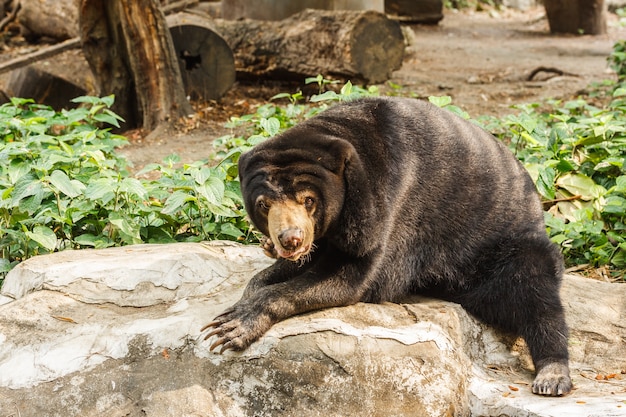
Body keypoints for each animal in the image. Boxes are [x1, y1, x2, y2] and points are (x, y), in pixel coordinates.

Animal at [201, 96, 572, 394]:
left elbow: (355, 276)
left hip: (501, 244)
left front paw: (232, 325)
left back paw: (552, 374)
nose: (290, 239)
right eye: (264, 205)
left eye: (308, 200)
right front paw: (248, 294)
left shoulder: (388, 203)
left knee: (534, 291)